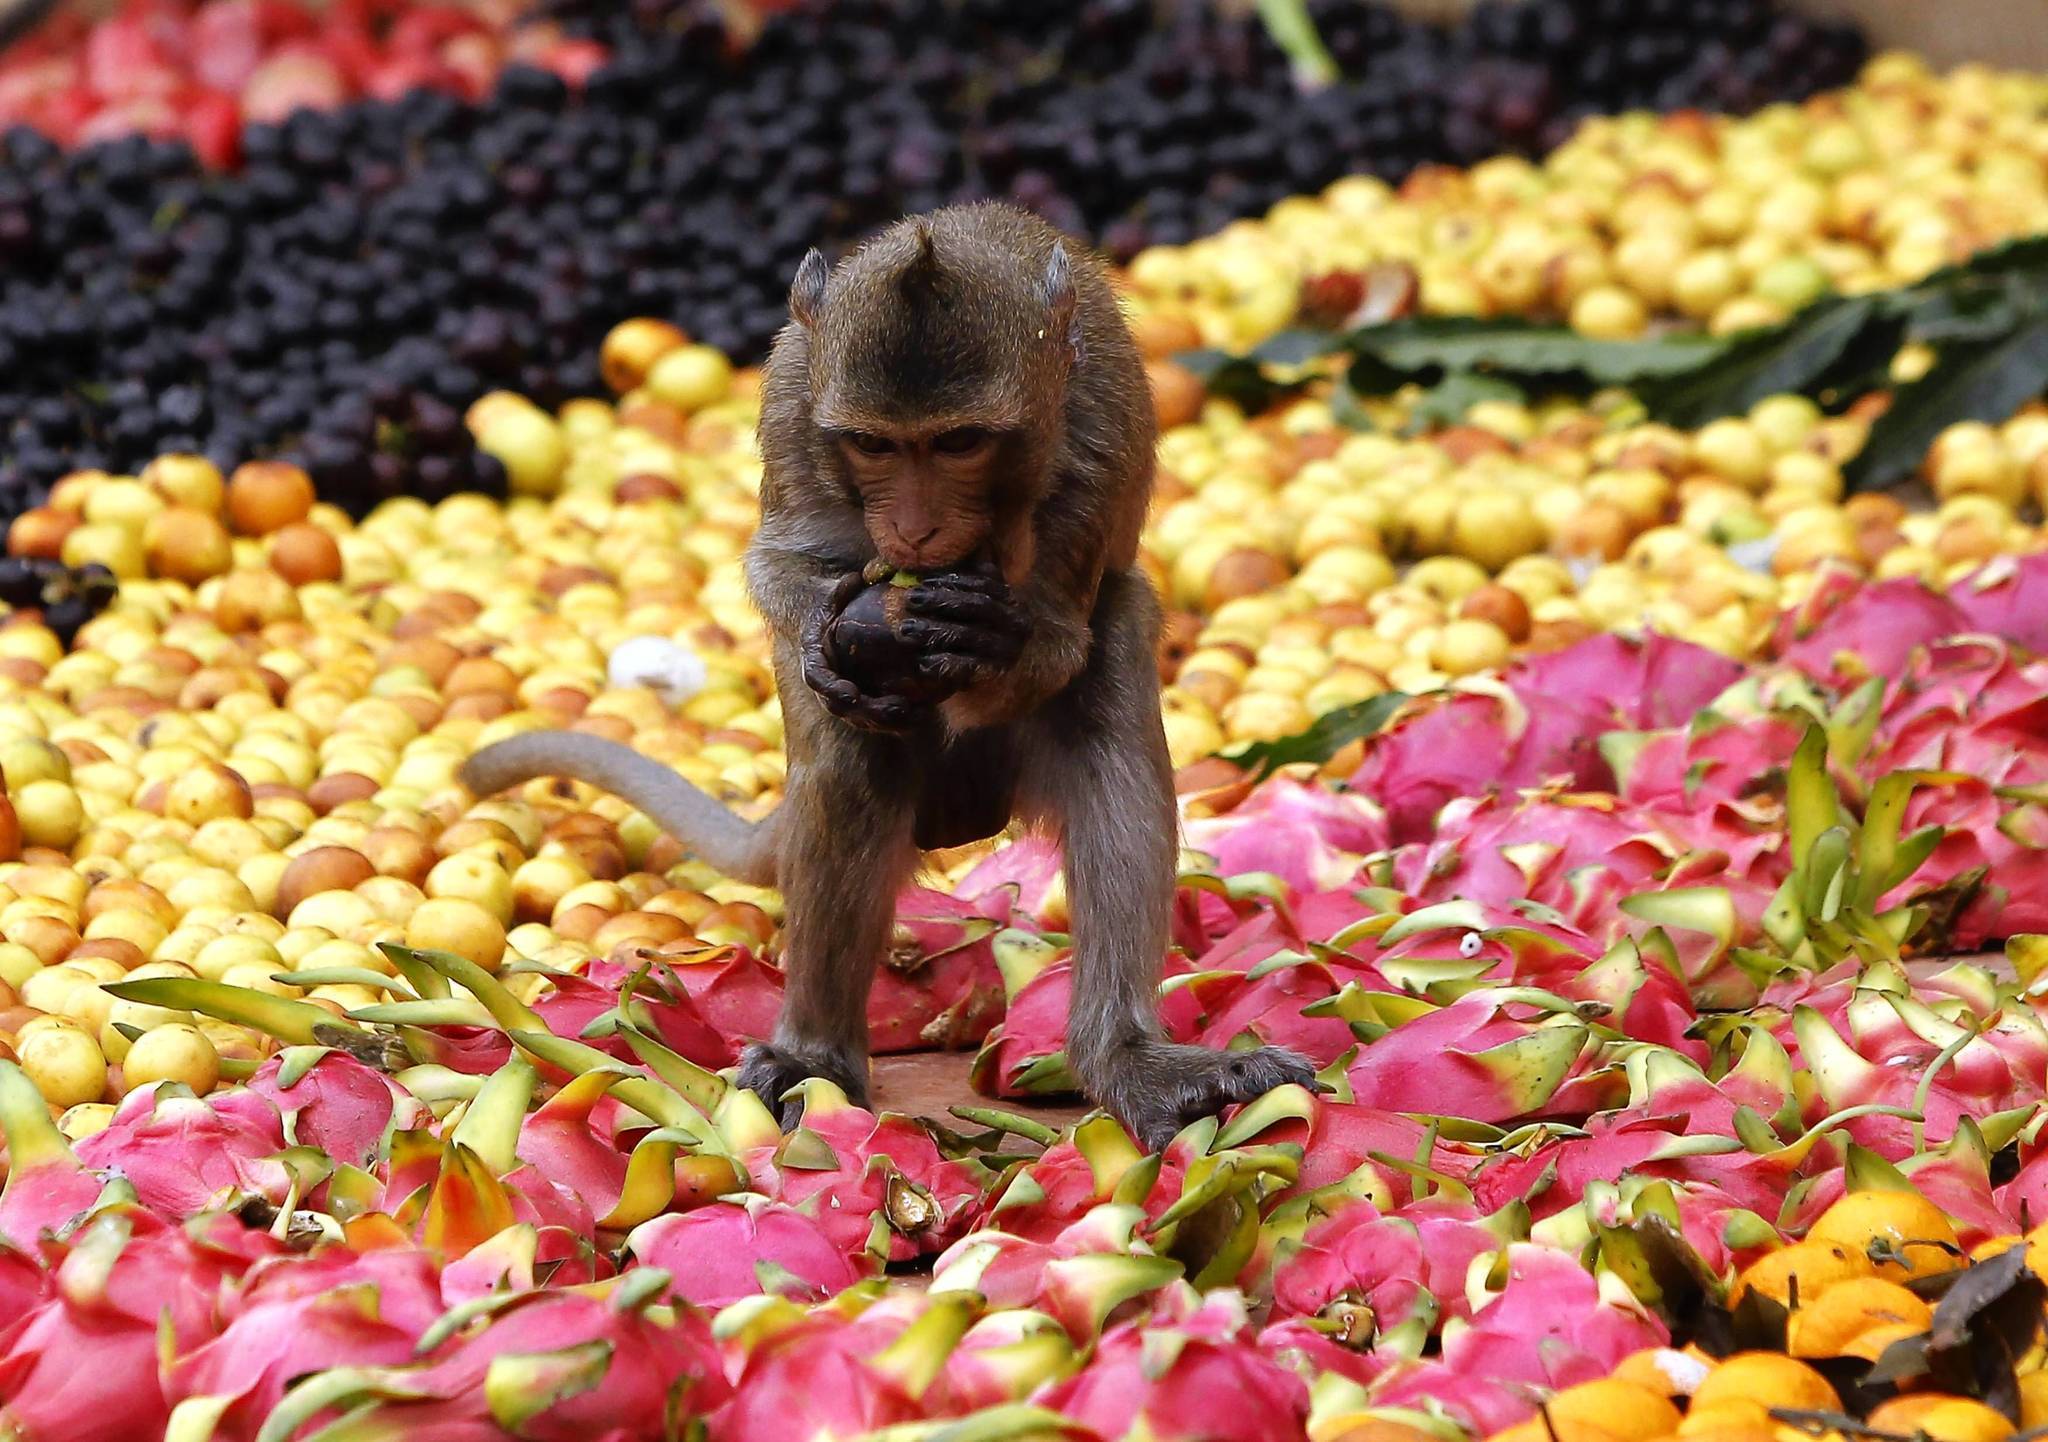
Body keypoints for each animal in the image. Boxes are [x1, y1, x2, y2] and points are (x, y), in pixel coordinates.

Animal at [462, 202, 1315, 1151]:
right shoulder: (791, 407)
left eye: (960, 442)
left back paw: (1124, 1057)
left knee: (1113, 692)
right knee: (848, 762)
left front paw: (989, 634)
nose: (912, 529)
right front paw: (824, 636)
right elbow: (781, 565)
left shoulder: (1099, 432)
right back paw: (815, 1054)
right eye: (873, 444)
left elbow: (1057, 643)